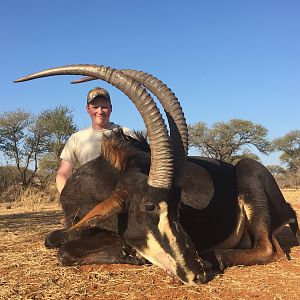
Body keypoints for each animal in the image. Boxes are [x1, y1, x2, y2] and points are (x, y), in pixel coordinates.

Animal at [14, 64, 300, 284]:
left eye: (178, 207)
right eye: (149, 206)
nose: (196, 275)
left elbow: (65, 249)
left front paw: (133, 254)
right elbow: (53, 239)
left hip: (249, 175)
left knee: (269, 248)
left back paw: (212, 258)